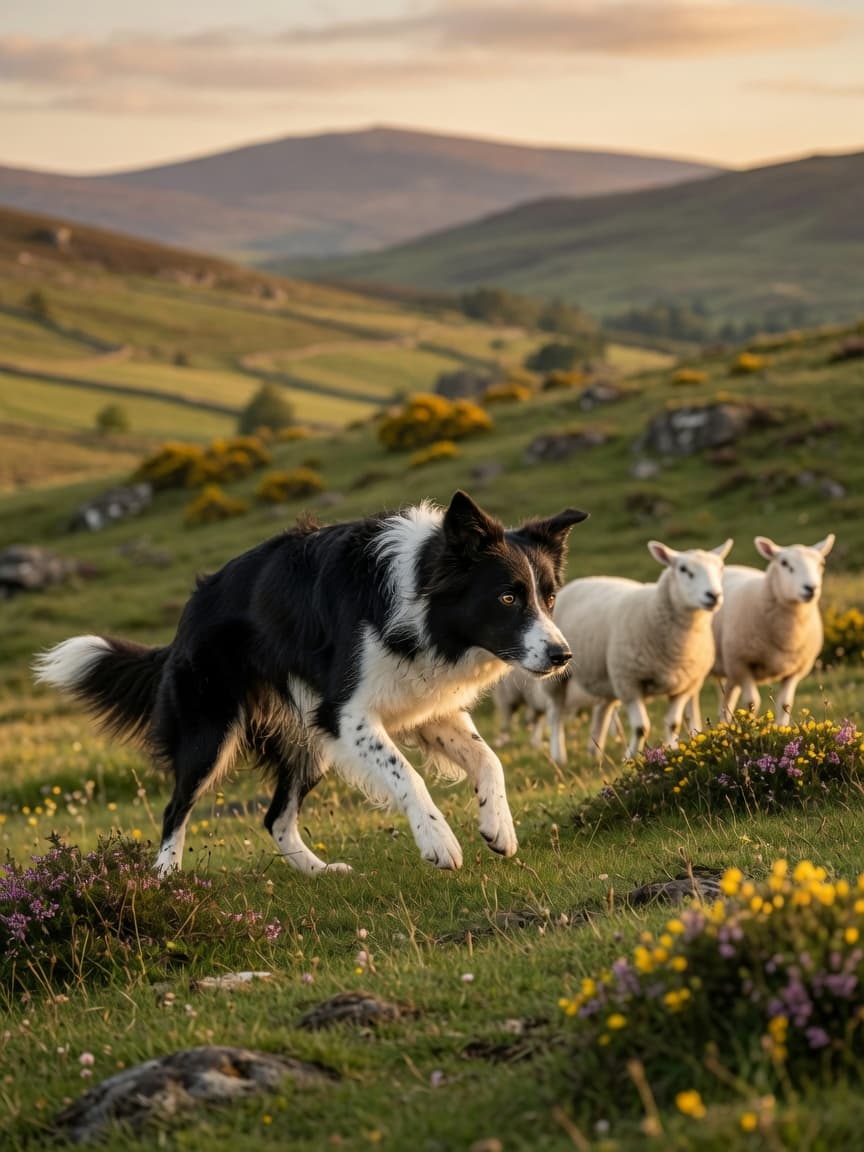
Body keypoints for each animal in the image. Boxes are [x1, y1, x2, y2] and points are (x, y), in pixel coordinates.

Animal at [545, 538, 733, 763]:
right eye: (683, 569)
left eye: (721, 568)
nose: (713, 595)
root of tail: (582, 581)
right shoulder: (629, 682)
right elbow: (641, 727)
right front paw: (631, 758)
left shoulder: (684, 686)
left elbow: (673, 724)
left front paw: (672, 752)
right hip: (559, 676)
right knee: (555, 714)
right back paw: (558, 755)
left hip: (607, 675)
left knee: (602, 708)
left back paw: (595, 752)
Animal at [711, 534, 835, 725]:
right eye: (784, 563)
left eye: (821, 564)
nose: (810, 588)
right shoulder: (742, 663)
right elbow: (752, 703)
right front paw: (751, 726)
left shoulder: (795, 671)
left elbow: (785, 705)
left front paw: (781, 728)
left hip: (729, 670)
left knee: (726, 700)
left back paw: (724, 726)